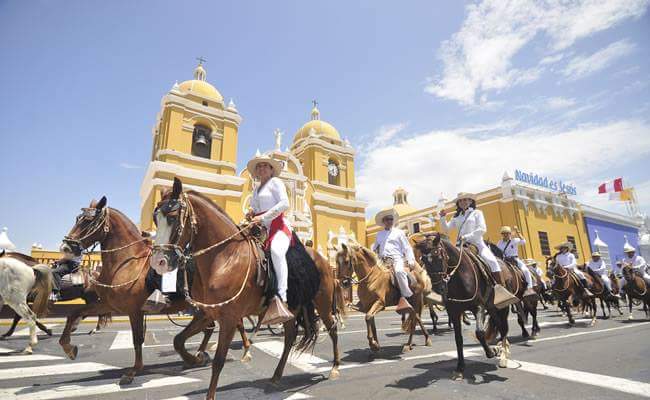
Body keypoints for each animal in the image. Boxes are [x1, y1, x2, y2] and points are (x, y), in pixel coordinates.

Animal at [59, 197, 215, 384]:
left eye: (90, 221)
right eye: (78, 218)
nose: (66, 247)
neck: (126, 263)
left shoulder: (134, 311)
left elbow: (137, 339)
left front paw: (134, 370)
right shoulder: (108, 305)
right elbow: (74, 314)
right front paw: (68, 347)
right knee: (208, 327)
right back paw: (199, 354)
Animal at [151, 179, 344, 400]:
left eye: (173, 217)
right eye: (155, 218)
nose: (158, 262)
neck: (225, 257)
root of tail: (324, 262)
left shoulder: (229, 317)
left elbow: (219, 361)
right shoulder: (207, 314)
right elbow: (178, 341)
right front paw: (197, 359)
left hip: (323, 303)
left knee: (332, 328)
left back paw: (335, 367)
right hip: (292, 310)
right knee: (290, 337)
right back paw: (276, 375)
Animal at [408, 233, 508, 380]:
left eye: (439, 255)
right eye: (424, 260)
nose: (438, 288)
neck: (459, 277)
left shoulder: (479, 306)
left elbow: (479, 332)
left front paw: (491, 352)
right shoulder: (454, 312)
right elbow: (458, 339)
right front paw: (460, 367)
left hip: (495, 305)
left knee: (502, 326)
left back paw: (503, 351)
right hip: (490, 307)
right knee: (498, 324)